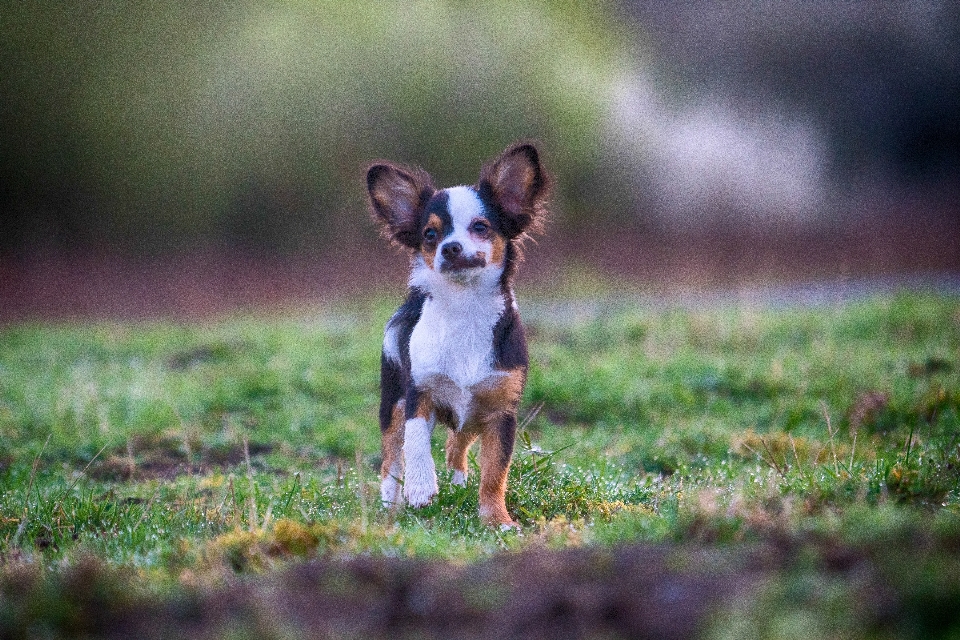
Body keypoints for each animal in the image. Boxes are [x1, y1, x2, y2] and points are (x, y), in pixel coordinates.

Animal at [366, 140, 548, 524]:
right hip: (392, 402)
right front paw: (420, 487)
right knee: (391, 458)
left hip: (473, 414)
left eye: (480, 227)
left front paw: (496, 520)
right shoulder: (419, 392)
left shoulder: (500, 413)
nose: (449, 247)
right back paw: (391, 504)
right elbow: (416, 441)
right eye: (430, 234)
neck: (464, 309)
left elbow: (495, 473)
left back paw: (459, 482)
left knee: (456, 444)